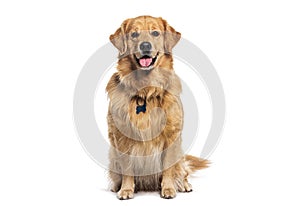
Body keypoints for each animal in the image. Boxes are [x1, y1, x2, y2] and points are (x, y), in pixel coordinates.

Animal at [106, 15, 209, 199]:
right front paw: (126, 189)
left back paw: (184, 185)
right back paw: (117, 186)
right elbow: (127, 167)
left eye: (155, 33)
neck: (145, 91)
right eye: (134, 34)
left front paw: (168, 189)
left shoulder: (171, 136)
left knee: (182, 171)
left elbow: (168, 167)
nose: (145, 45)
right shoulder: (122, 137)